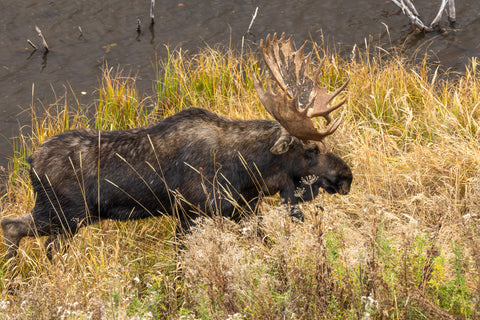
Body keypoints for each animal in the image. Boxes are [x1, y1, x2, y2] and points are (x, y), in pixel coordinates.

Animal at [0, 33, 352, 258]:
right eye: (311, 150)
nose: (346, 176)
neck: (249, 173)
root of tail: (30, 162)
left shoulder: (241, 210)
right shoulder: (192, 211)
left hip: (64, 220)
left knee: (40, 244)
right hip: (61, 214)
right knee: (12, 226)